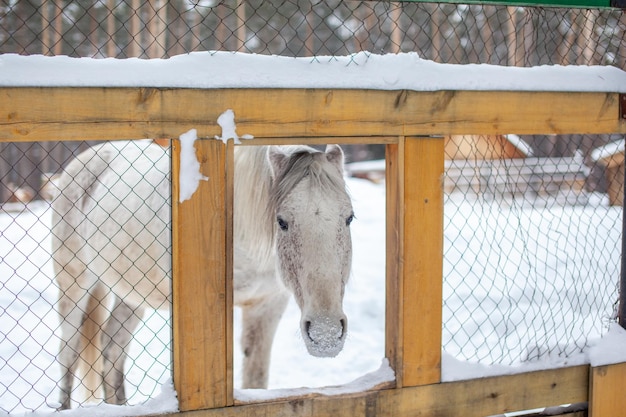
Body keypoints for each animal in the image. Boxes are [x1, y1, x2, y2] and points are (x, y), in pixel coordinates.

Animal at [50, 139, 352, 406]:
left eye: (349, 218)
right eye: (281, 221)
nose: (326, 335)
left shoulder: (267, 306)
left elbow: (256, 378)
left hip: (131, 295)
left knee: (112, 350)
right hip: (74, 284)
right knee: (68, 353)